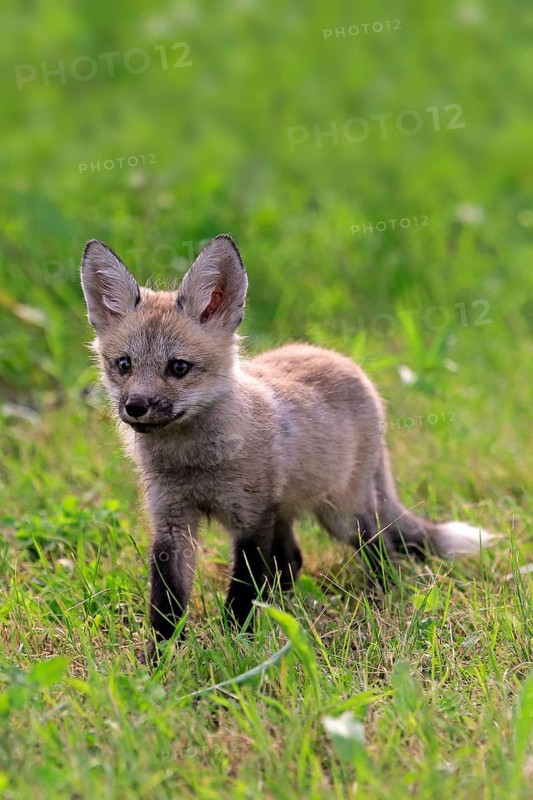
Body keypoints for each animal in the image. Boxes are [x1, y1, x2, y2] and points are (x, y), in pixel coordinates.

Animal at [80, 233, 493, 652]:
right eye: (124, 365)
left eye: (179, 367)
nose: (135, 407)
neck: (194, 462)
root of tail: (342, 361)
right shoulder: (171, 522)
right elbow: (166, 601)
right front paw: (161, 656)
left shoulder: (251, 519)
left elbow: (242, 592)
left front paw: (236, 646)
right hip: (287, 512)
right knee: (293, 560)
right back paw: (284, 604)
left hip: (341, 514)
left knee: (382, 547)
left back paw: (382, 597)